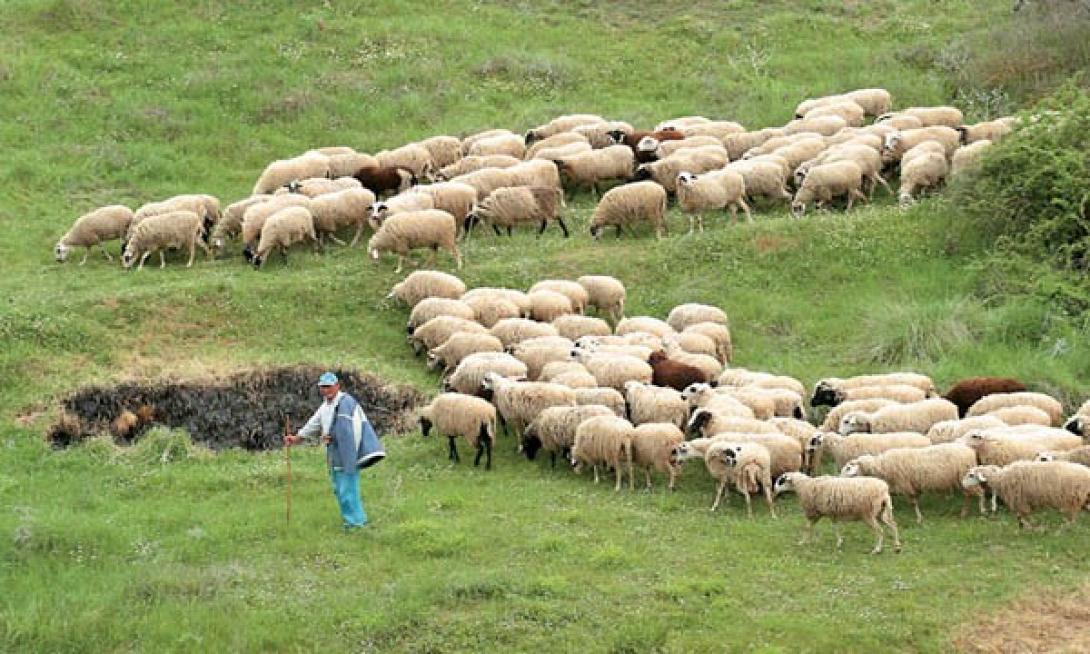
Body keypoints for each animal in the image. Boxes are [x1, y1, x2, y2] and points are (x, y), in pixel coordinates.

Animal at [837, 442, 985, 523]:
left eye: (848, 468)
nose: (839, 479)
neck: (882, 466)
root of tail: (970, 451)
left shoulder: (906, 485)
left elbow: (913, 503)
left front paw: (919, 518)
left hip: (966, 478)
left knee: (980, 492)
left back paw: (982, 510)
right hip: (963, 481)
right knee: (968, 495)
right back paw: (964, 513)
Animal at [959, 462, 1090, 529]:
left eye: (971, 475)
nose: (962, 484)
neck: (1001, 478)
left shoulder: (1020, 499)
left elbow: (1022, 514)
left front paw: (1029, 526)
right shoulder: (1022, 501)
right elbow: (1020, 515)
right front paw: (1026, 525)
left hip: (1073, 497)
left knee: (1072, 515)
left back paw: (1065, 527)